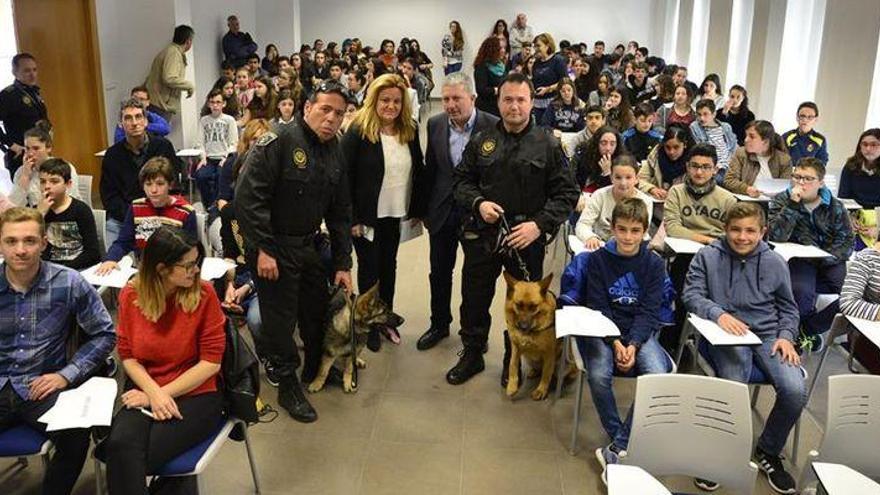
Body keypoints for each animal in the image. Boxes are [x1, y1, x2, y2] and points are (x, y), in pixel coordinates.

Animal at [506, 274, 576, 402]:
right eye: (518, 305)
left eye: (534, 307)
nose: (523, 327)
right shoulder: (516, 348)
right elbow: (512, 365)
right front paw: (512, 386)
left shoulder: (549, 353)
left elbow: (546, 373)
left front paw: (541, 390)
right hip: (529, 359)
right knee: (538, 368)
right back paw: (534, 371)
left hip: (563, 363)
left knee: (560, 373)